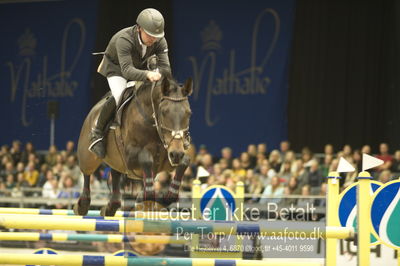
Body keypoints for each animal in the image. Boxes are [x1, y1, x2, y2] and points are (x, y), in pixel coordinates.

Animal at [76, 75, 194, 216]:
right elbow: (146, 159)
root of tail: (94, 109)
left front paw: (167, 196)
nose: (176, 154)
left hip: (118, 160)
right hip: (89, 156)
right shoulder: (130, 158)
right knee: (87, 173)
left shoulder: (168, 157)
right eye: (164, 112)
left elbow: (185, 161)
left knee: (115, 173)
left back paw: (111, 206)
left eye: (189, 113)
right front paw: (146, 197)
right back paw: (83, 204)